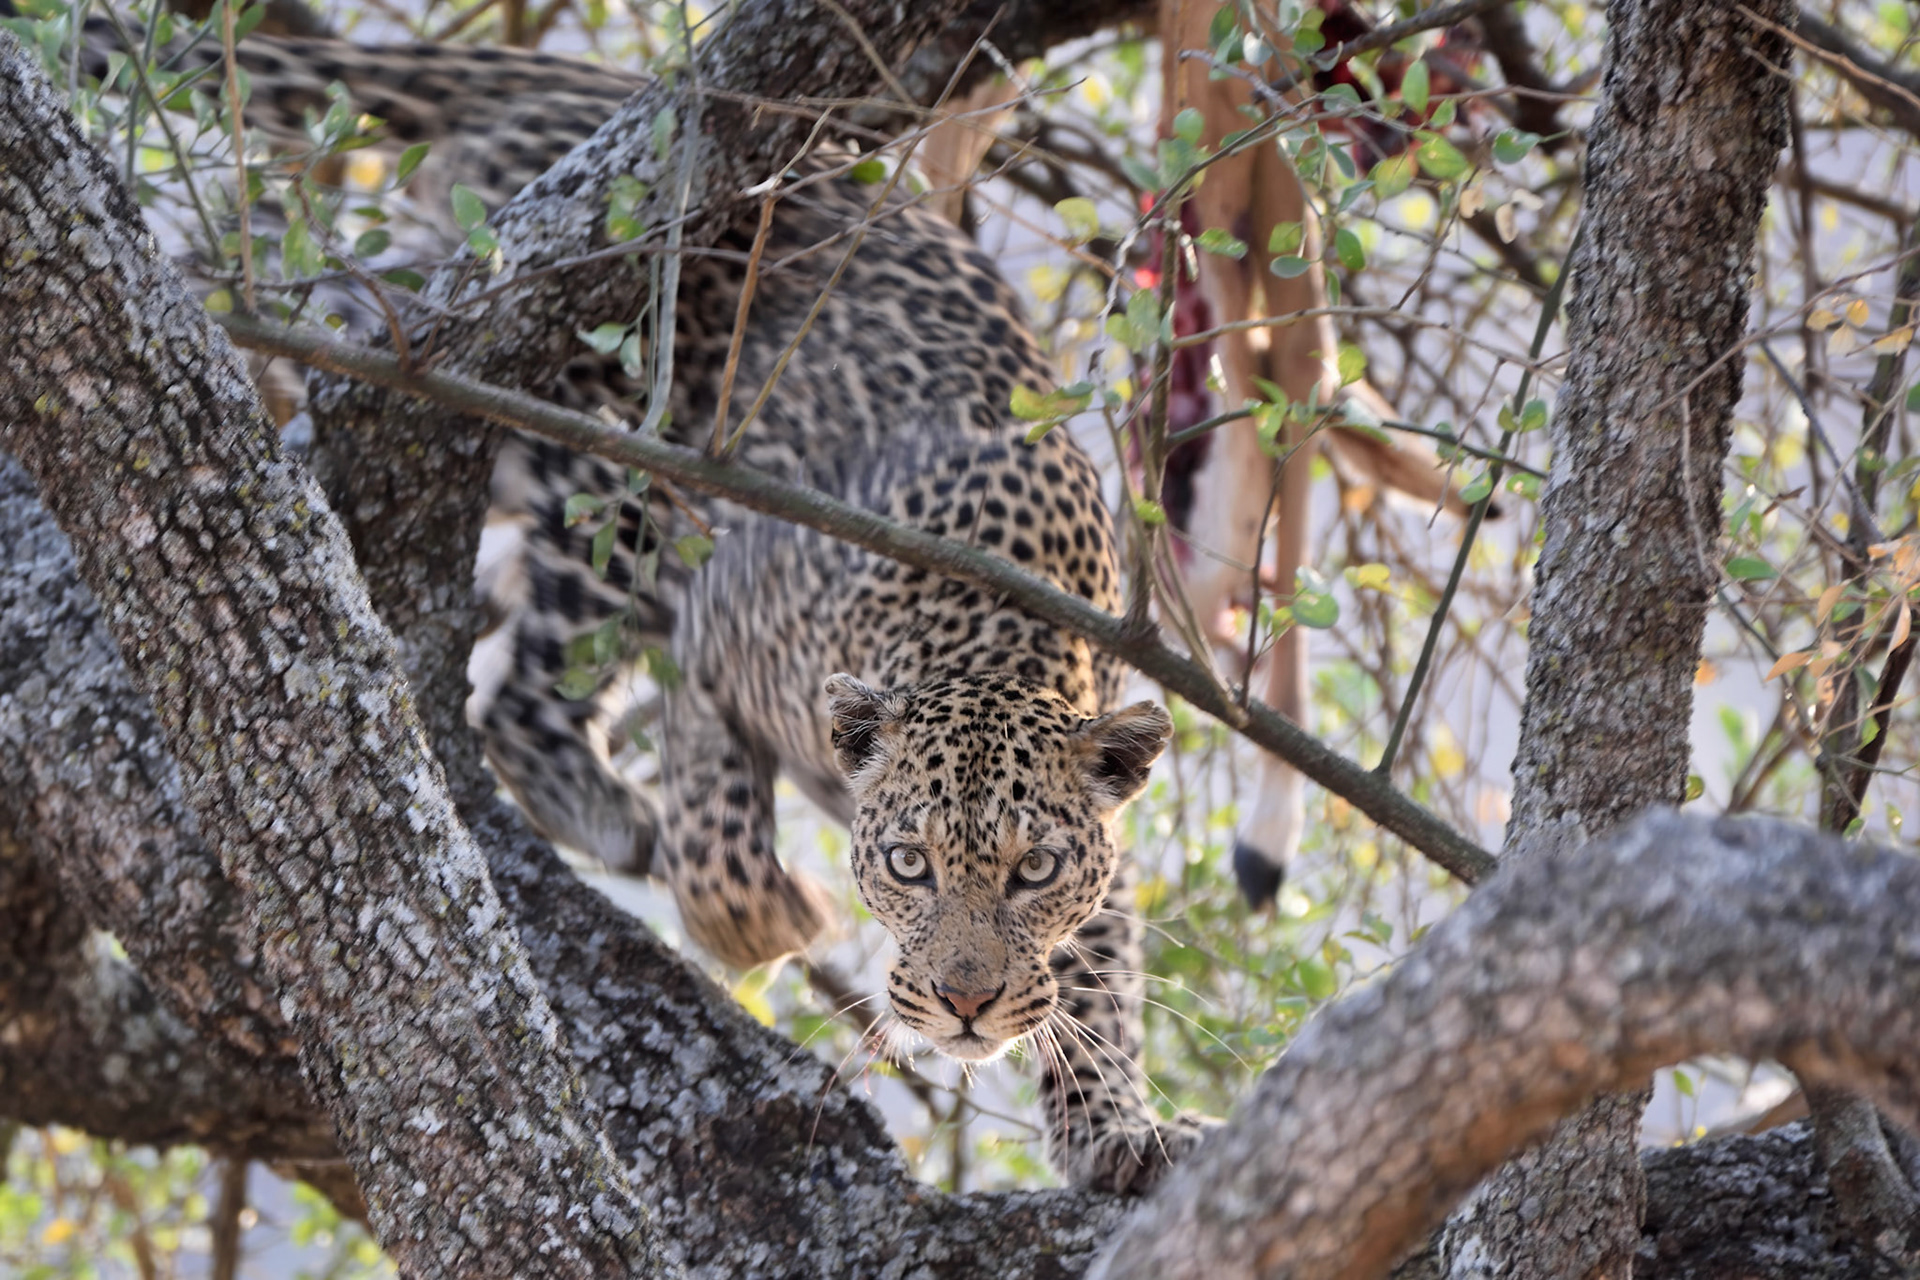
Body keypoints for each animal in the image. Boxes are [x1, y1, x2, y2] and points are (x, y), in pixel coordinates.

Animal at [34, 8, 1211, 1192]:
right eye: (908, 864)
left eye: (1035, 868)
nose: (967, 1003)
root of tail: (569, 90)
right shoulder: (714, 635)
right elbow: (718, 842)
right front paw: (772, 917)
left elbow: (1101, 972)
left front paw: (1116, 1124)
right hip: (616, 480)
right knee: (521, 687)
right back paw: (607, 808)